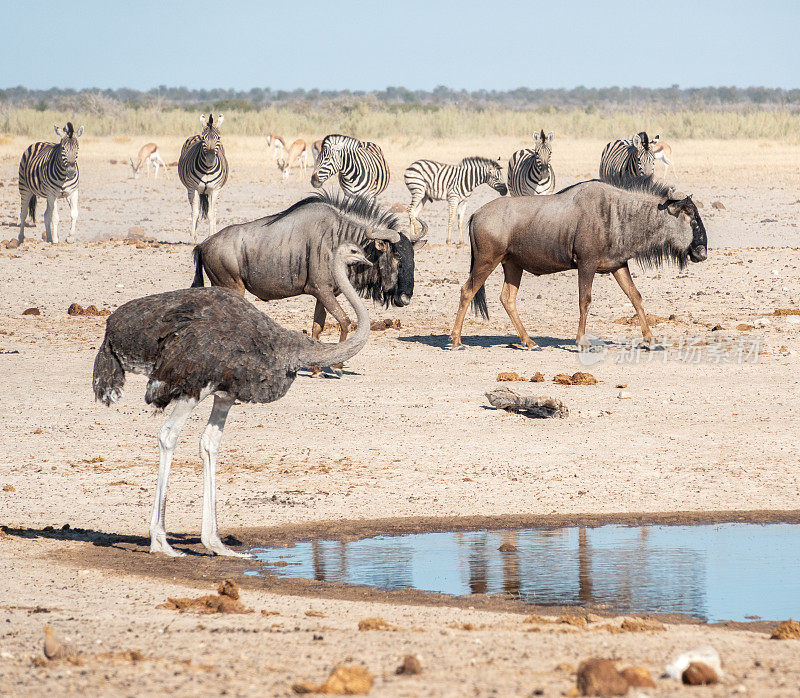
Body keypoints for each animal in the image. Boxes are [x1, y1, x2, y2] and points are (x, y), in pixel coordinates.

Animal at [180, 113, 230, 242]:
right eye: (204, 139)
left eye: (218, 138)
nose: (210, 159)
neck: (207, 169)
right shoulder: (193, 189)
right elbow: (195, 213)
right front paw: (192, 238)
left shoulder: (215, 189)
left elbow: (211, 213)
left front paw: (211, 235)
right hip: (192, 191)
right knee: (195, 210)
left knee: (214, 211)